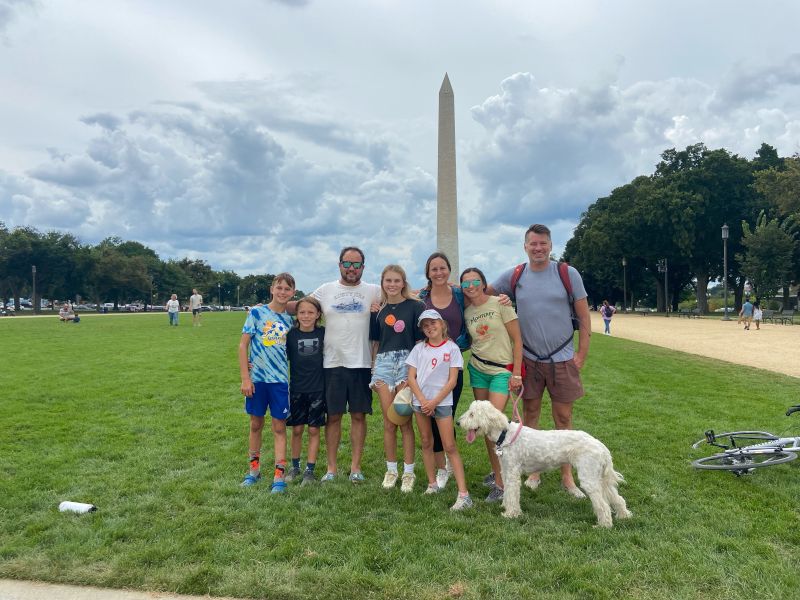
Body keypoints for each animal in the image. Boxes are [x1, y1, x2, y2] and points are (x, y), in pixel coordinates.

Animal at [456, 400, 632, 528]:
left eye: (472, 414)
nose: (458, 423)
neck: (505, 434)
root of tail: (602, 447)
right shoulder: (505, 471)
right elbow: (507, 493)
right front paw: (505, 506)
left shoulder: (512, 473)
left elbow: (513, 494)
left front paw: (511, 514)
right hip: (599, 479)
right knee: (617, 498)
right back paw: (623, 515)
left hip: (589, 479)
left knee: (603, 505)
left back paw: (603, 525)